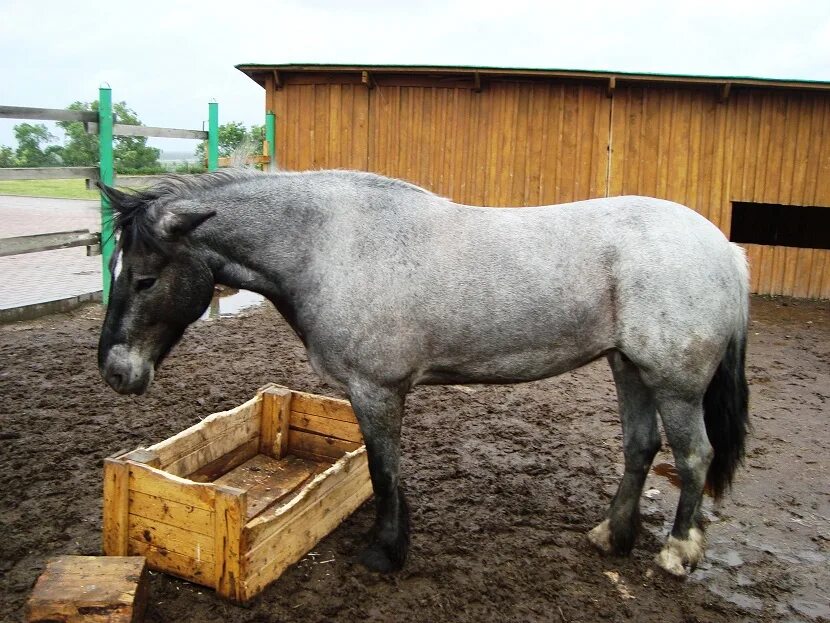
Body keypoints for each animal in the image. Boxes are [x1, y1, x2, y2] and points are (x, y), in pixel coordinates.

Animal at [99, 168, 752, 576]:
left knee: (694, 456)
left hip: (673, 383)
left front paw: (386, 553)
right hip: (629, 368)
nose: (113, 372)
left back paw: (677, 551)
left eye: (146, 278)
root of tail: (725, 249)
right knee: (640, 448)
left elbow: (384, 471)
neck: (331, 246)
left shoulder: (377, 389)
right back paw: (612, 537)